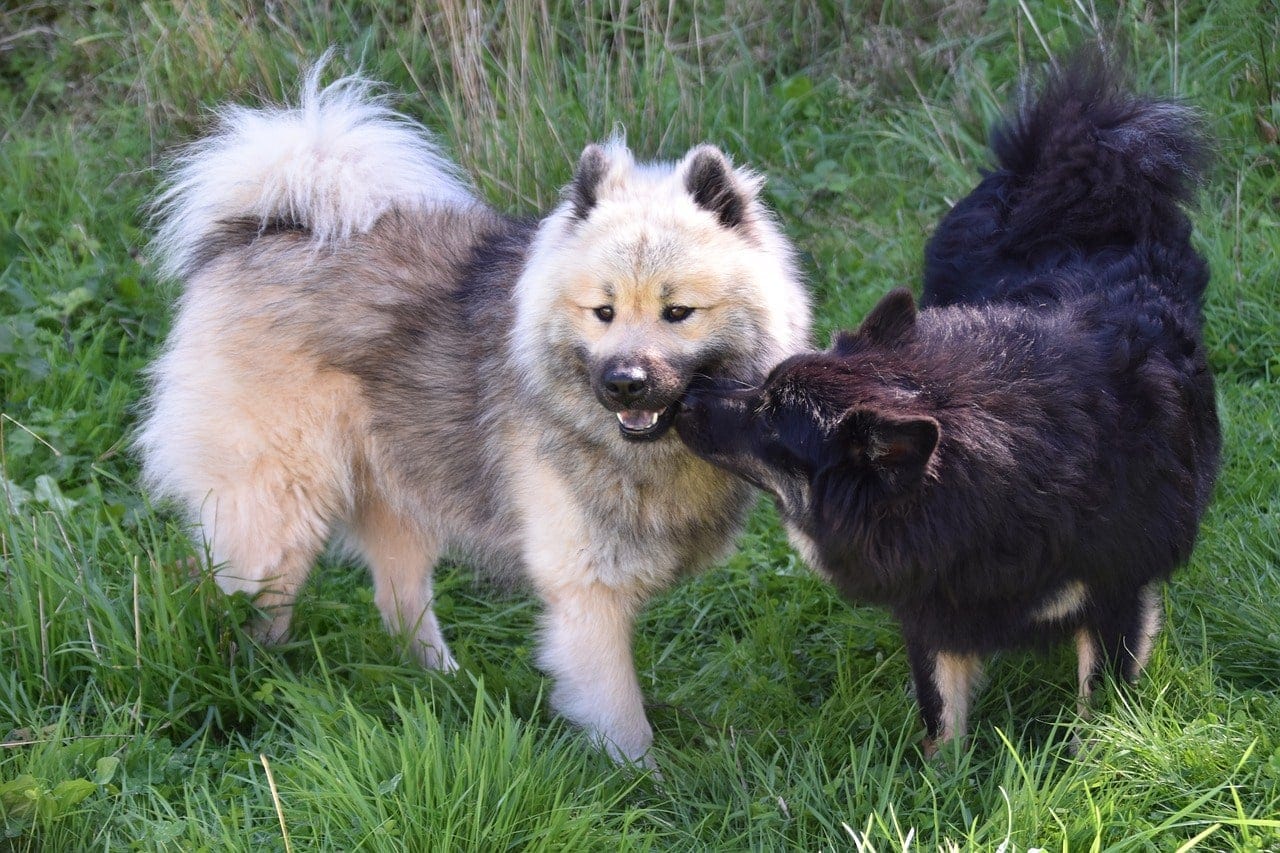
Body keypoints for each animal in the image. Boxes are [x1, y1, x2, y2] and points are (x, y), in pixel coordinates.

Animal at [675, 53, 1213, 747]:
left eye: (770, 417)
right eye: (762, 389)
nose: (687, 394)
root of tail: (1061, 170)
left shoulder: (1116, 592)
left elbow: (1098, 708)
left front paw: (1094, 757)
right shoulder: (930, 601)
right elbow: (939, 718)